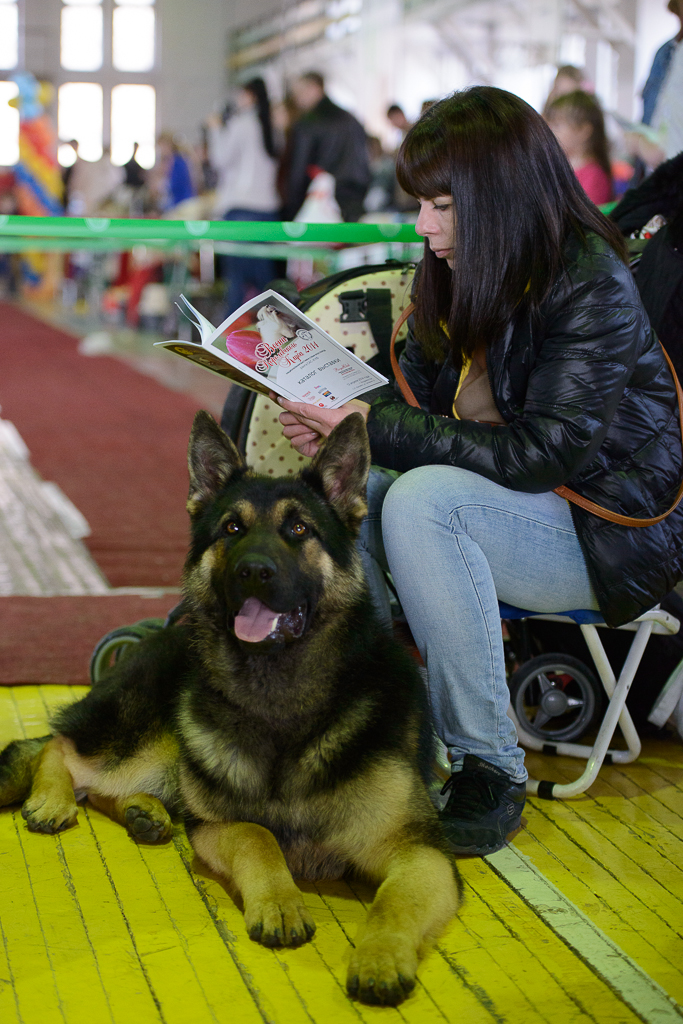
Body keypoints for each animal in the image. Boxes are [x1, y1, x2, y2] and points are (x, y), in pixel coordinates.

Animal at [1, 409, 458, 1007]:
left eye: (299, 529)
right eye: (232, 529)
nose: (254, 571)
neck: (280, 700)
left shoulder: (423, 855)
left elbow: (394, 903)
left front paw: (380, 956)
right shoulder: (217, 827)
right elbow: (258, 836)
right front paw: (281, 902)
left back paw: (145, 812)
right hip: (147, 737)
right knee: (56, 746)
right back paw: (55, 798)